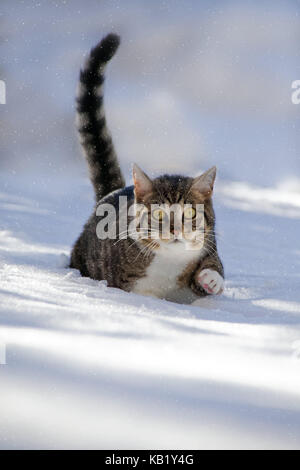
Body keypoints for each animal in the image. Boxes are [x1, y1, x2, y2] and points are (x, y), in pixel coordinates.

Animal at [70, 34, 224, 304]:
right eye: (159, 214)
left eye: (190, 213)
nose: (175, 229)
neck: (169, 262)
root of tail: (112, 194)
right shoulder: (128, 281)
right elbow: (143, 295)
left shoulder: (209, 242)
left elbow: (214, 268)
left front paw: (210, 279)